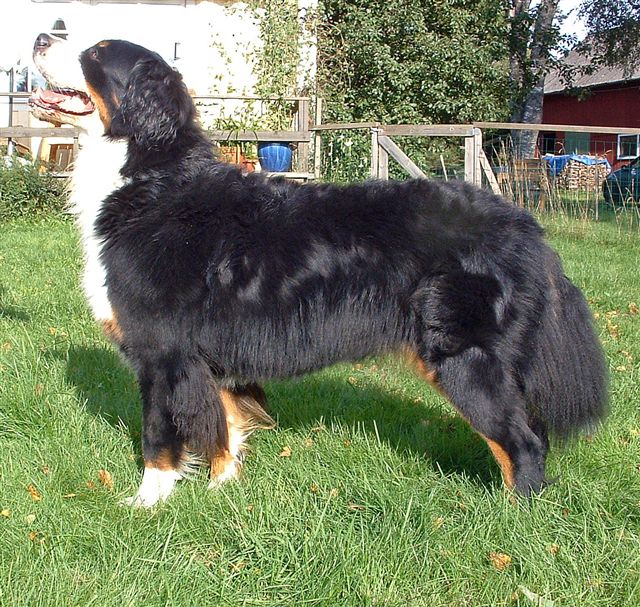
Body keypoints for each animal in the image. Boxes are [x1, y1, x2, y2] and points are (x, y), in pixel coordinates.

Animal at [31, 33, 608, 507]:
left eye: (97, 52)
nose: (39, 37)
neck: (148, 176)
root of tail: (523, 224)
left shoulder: (160, 352)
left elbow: (159, 437)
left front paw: (145, 505)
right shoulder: (207, 356)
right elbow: (222, 427)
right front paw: (221, 491)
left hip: (464, 356)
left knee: (522, 443)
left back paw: (513, 523)